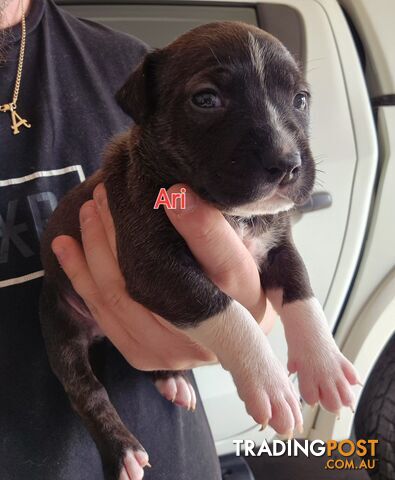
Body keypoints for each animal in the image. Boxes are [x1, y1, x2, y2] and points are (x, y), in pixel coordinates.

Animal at [39, 21, 358, 480]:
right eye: (206, 99)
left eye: (301, 99)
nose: (287, 163)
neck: (232, 214)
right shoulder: (154, 265)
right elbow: (224, 308)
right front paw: (270, 382)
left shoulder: (278, 245)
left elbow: (302, 292)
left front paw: (326, 364)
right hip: (59, 324)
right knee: (87, 391)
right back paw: (124, 450)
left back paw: (171, 378)